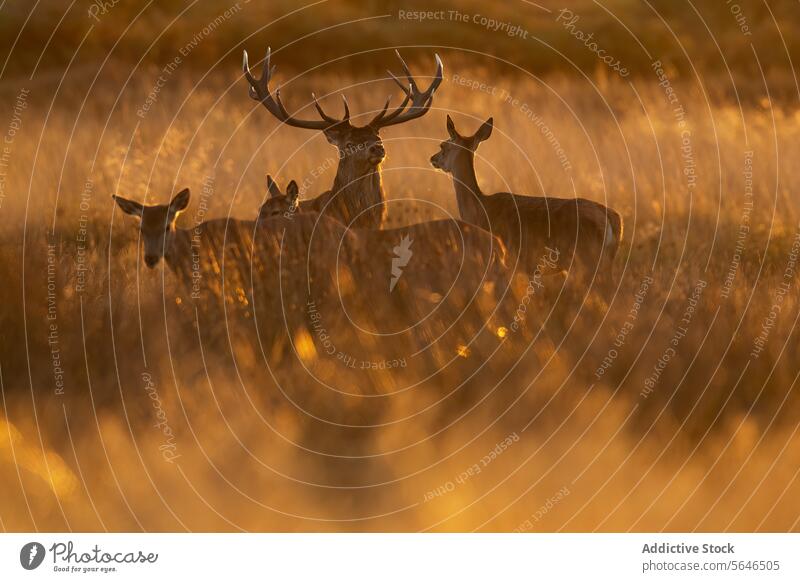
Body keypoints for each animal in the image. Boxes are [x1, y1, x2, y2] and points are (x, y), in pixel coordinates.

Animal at [432, 116, 624, 298]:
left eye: (443, 145)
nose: (432, 159)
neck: (479, 208)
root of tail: (611, 217)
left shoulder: (501, 261)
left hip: (586, 260)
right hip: (606, 261)